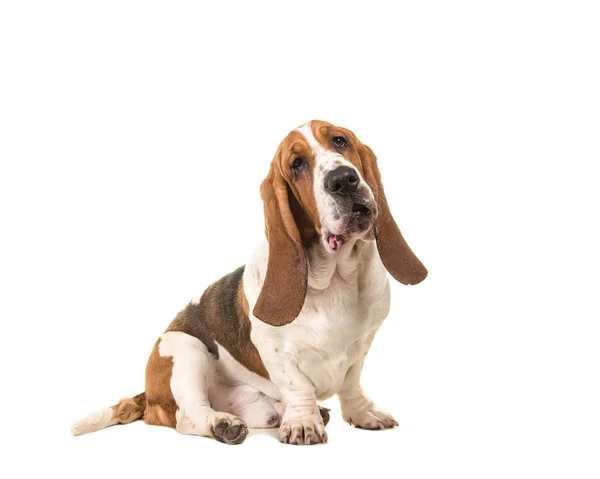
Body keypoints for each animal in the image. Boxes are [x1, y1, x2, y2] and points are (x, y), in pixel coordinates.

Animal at [72, 120, 426, 446]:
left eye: (340, 141)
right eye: (297, 164)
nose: (342, 179)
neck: (336, 275)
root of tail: (147, 394)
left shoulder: (362, 345)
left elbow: (351, 384)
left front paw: (362, 414)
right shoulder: (275, 350)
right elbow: (298, 386)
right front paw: (303, 423)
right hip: (184, 349)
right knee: (188, 417)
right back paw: (222, 423)